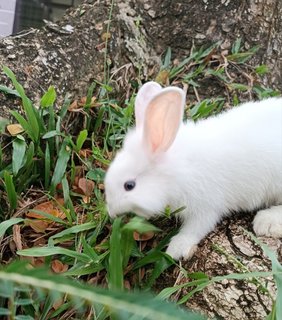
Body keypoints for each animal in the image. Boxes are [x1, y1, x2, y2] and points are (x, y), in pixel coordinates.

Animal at [104, 81, 282, 258]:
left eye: (129, 185)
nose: (111, 212)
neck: (176, 171)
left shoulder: (205, 206)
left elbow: (195, 228)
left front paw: (176, 249)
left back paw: (266, 222)